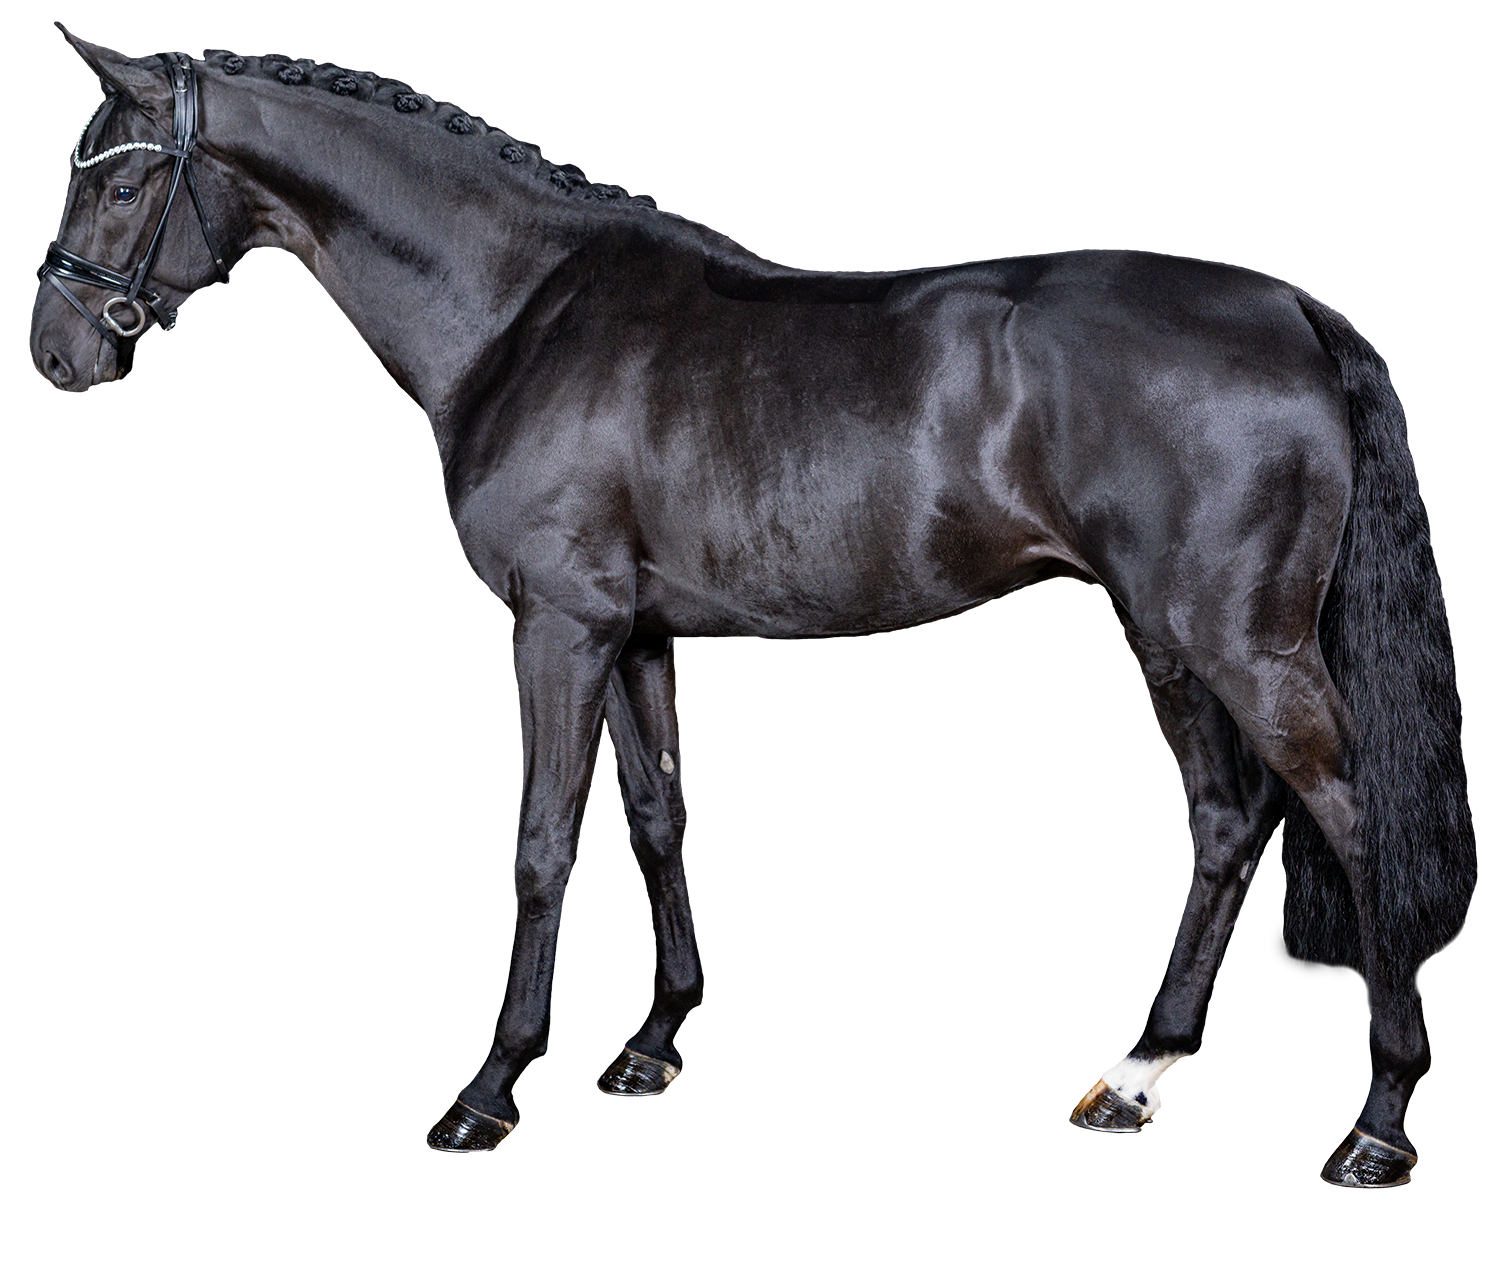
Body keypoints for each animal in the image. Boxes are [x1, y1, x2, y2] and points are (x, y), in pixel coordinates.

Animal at [28, 30, 1476, 1190]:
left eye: (119, 176)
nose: (56, 357)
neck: (525, 312)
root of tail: (1294, 305)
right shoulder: (633, 635)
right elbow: (660, 818)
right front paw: (653, 1044)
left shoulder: (552, 629)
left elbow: (538, 850)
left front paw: (487, 1093)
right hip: (1161, 636)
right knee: (1228, 824)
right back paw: (1142, 1072)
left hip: (1241, 639)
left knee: (1353, 815)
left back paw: (1378, 1120)